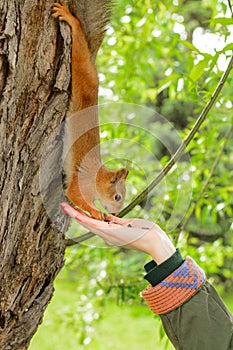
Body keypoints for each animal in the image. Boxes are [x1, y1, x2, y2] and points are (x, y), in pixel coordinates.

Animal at [51, 0, 128, 219]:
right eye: (117, 197)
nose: (116, 215)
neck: (97, 179)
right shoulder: (81, 183)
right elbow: (74, 195)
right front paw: (96, 213)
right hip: (82, 70)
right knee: (79, 47)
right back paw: (71, 20)